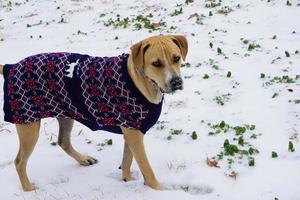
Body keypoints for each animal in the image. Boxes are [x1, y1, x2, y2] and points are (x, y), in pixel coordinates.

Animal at [0, 34, 188, 191]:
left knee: (63, 142)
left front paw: (127, 180)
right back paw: (28, 189)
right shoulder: (134, 135)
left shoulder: (132, 130)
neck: (141, 81)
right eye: (156, 63)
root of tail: (11, 67)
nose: (176, 82)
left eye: (176, 58)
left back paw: (83, 159)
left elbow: (127, 160)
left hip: (66, 113)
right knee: (19, 162)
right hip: (27, 123)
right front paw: (158, 190)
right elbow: (147, 169)